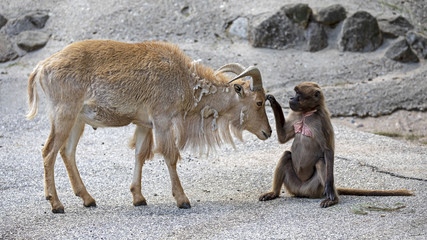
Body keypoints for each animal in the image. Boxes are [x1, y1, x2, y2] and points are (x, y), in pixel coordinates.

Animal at [260, 81, 414, 207]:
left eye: (298, 93)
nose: (291, 99)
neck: (307, 113)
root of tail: (301, 191)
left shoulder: (323, 120)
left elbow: (329, 150)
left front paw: (330, 187)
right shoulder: (296, 115)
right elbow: (282, 138)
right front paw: (273, 102)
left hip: (314, 188)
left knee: (321, 162)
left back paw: (333, 199)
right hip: (293, 185)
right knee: (287, 155)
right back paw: (273, 193)